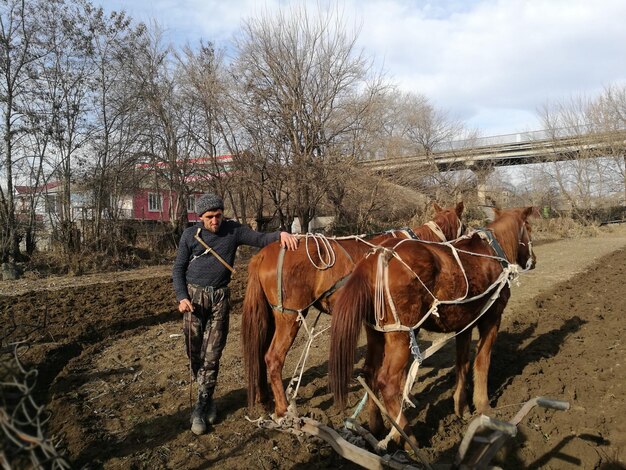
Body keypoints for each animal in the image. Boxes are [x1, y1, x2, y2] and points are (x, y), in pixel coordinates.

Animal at [243, 200, 464, 416]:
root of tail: (263, 255)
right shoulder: (408, 325)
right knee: (273, 358)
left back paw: (266, 401)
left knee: (260, 356)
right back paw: (282, 409)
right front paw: (406, 397)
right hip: (290, 317)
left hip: (272, 317)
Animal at [326, 206, 536, 448]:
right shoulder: (491, 318)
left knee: (370, 373)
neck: (492, 252)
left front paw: (461, 406)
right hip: (400, 336)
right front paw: (484, 407)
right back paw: (407, 438)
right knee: (387, 383)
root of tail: (376, 257)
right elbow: (482, 362)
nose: (534, 260)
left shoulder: (465, 324)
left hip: (377, 334)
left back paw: (377, 427)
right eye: (529, 228)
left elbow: (462, 364)